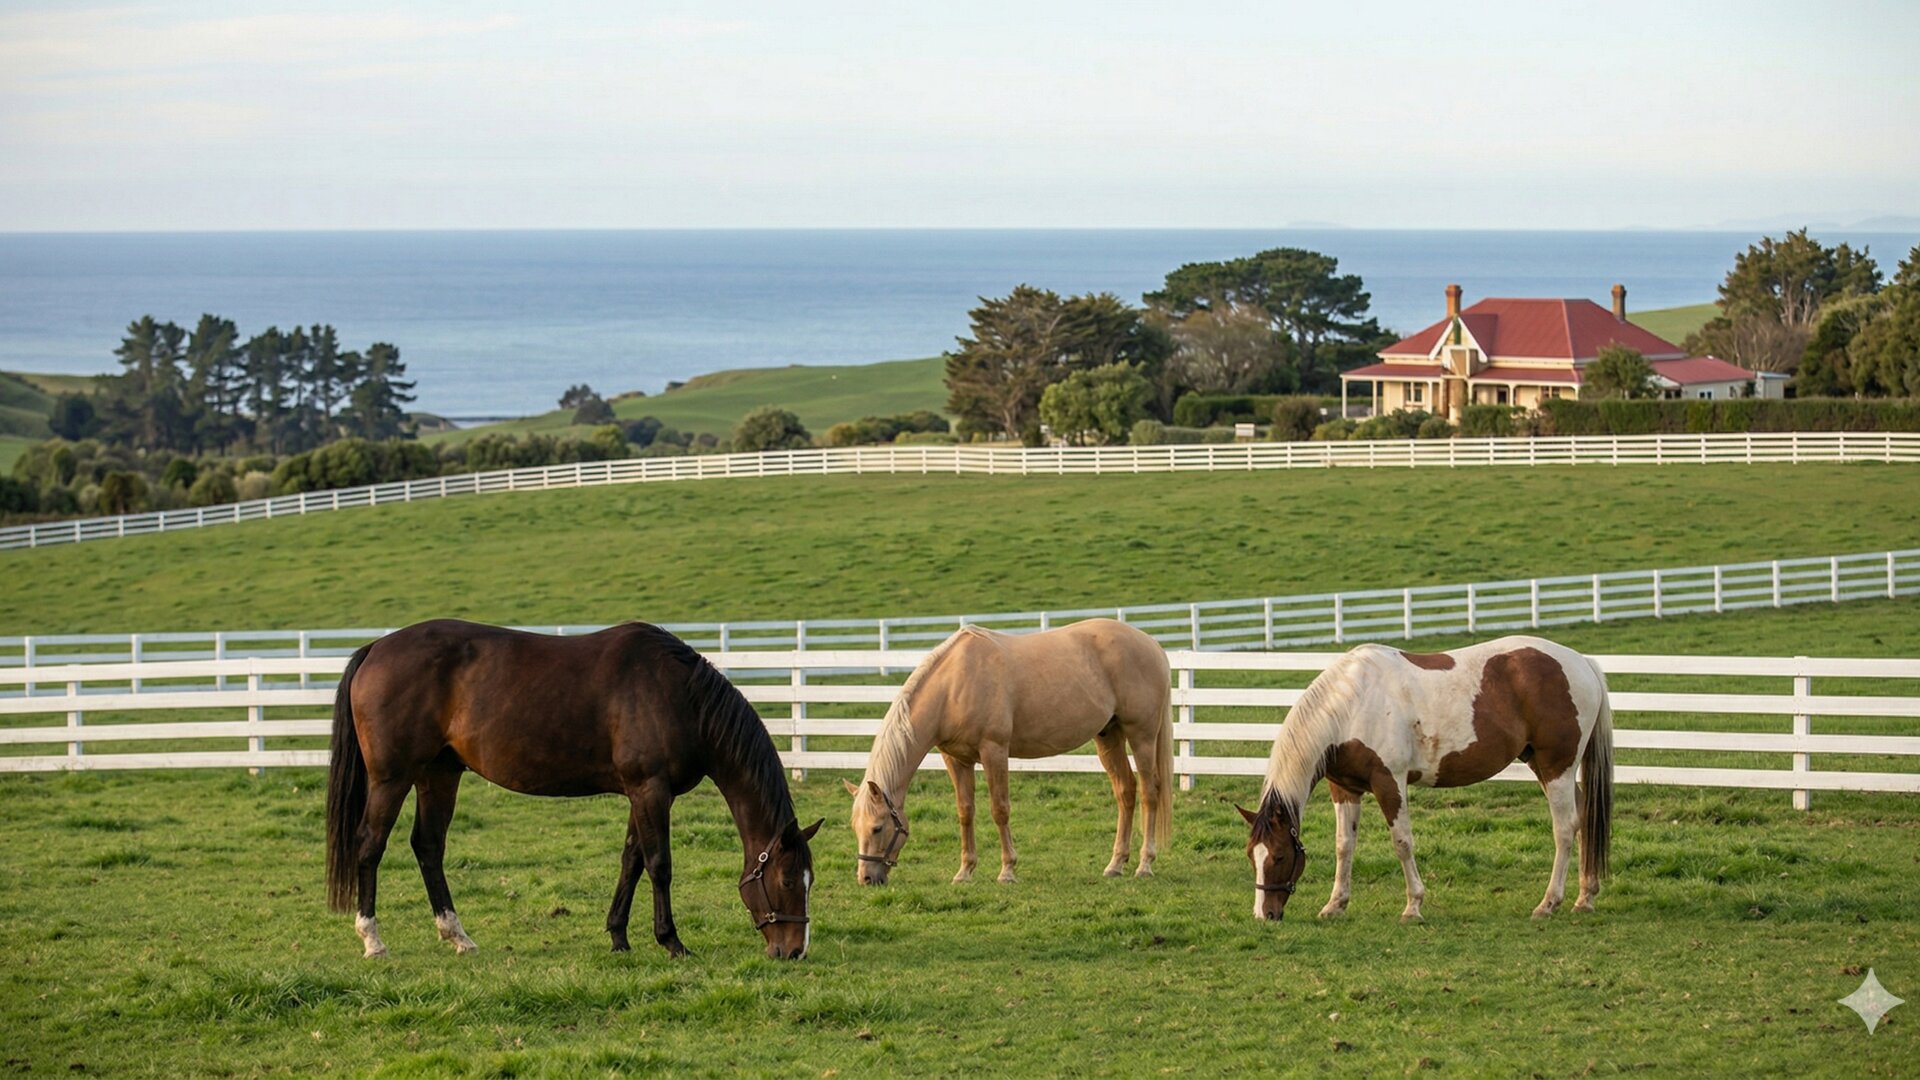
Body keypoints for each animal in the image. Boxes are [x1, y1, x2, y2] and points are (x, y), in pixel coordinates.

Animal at [325, 619, 823, 961]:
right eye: (785, 879)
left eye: (809, 880)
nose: (795, 949)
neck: (679, 696)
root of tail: (376, 648)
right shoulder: (651, 789)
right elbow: (659, 864)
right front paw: (671, 941)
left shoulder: (639, 792)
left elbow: (631, 860)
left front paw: (619, 936)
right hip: (392, 778)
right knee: (369, 845)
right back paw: (373, 939)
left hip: (439, 774)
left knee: (428, 846)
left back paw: (457, 936)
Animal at [845, 618, 1173, 885]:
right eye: (855, 827)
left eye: (877, 828)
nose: (866, 878)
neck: (953, 685)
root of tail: (1150, 643)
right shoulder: (956, 759)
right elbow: (965, 811)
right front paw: (965, 871)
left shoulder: (994, 751)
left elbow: (999, 809)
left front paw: (1007, 870)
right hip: (1108, 735)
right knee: (1125, 791)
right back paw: (1115, 864)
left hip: (1142, 735)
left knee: (1149, 792)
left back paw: (1144, 865)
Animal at [1240, 635, 1613, 923]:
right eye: (1251, 856)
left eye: (1279, 857)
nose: (1264, 915)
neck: (1352, 705)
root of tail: (1582, 663)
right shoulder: (1344, 788)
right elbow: (1344, 845)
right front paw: (1335, 905)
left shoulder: (1389, 782)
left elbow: (1402, 843)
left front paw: (1413, 906)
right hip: (1545, 766)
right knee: (1585, 819)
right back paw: (1585, 898)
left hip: (1556, 768)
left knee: (1564, 829)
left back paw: (1548, 903)